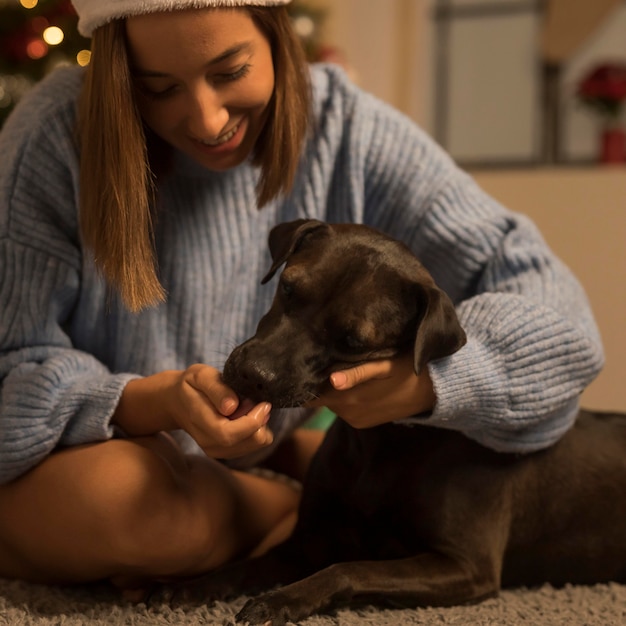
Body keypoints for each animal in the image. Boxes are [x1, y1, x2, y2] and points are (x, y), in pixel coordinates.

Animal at [162, 219, 624, 624]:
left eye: (352, 341)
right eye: (288, 288)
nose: (252, 375)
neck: (379, 444)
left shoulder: (466, 565)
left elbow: (349, 568)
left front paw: (280, 600)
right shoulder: (307, 541)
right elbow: (246, 564)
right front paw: (192, 586)